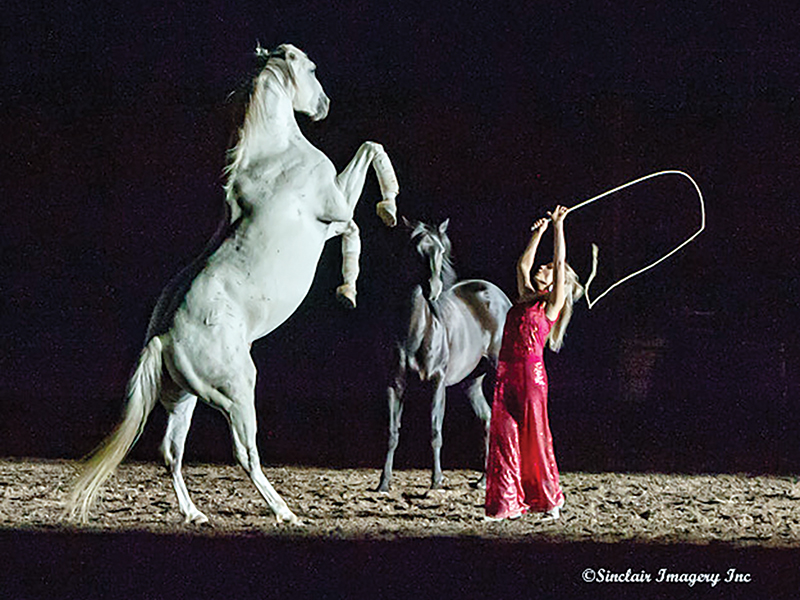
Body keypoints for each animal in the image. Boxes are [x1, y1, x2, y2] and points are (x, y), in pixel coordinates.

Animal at [66, 44, 399, 526]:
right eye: (312, 69)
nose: (324, 106)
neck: (274, 156)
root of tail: (164, 337)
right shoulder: (334, 211)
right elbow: (367, 172)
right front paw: (370, 245)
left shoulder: (332, 220)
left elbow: (367, 167)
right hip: (236, 392)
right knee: (245, 454)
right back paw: (284, 513)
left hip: (184, 397)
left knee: (171, 451)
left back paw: (194, 514)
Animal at [377, 218, 511, 492]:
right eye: (416, 249)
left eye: (440, 250)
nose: (434, 288)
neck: (416, 330)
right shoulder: (395, 385)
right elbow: (392, 433)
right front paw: (383, 483)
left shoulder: (437, 383)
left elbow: (435, 431)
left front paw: (436, 481)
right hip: (472, 382)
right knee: (487, 419)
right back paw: (483, 480)